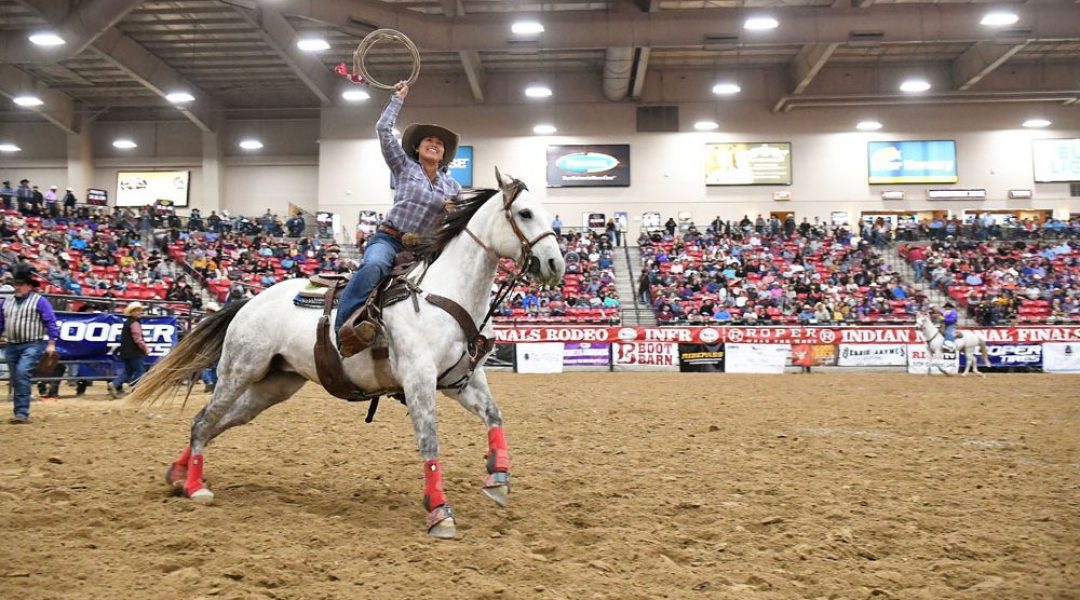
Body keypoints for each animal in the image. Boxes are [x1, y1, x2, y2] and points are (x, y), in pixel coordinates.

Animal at [127, 168, 565, 539]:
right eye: (525, 213)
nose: (555, 264)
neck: (443, 294)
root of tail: (249, 301)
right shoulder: (419, 379)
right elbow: (430, 443)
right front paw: (440, 513)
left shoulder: (461, 381)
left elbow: (495, 416)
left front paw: (498, 480)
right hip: (238, 371)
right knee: (204, 420)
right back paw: (195, 487)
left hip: (273, 386)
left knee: (217, 424)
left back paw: (178, 474)